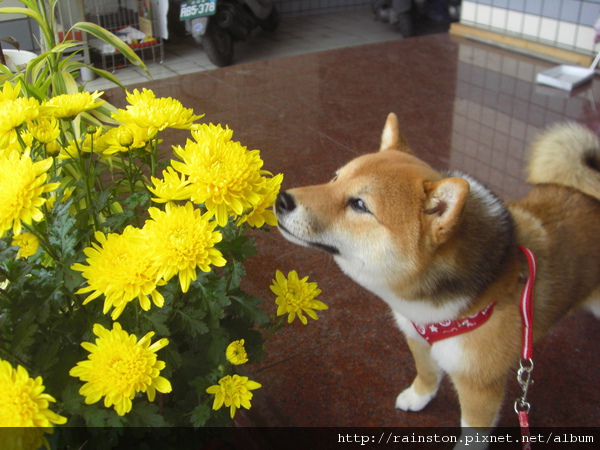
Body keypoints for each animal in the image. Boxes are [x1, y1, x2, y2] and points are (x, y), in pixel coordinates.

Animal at [276, 114, 600, 438]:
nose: (281, 199)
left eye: (359, 205)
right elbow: (427, 373)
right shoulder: (416, 336)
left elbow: (472, 433)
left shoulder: (480, 386)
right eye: (334, 178)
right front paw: (418, 396)